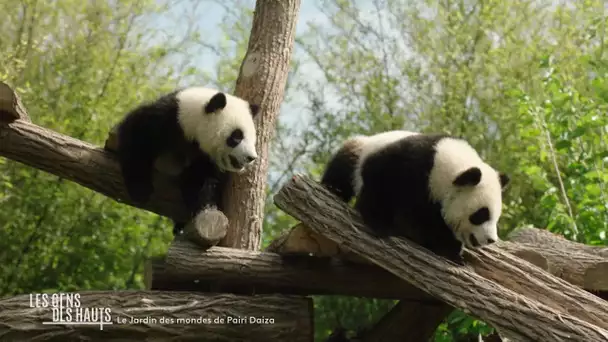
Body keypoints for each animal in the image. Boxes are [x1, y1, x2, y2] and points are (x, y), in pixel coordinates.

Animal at [108, 87, 258, 235]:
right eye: (237, 136)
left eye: (252, 138)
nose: (251, 157)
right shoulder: (168, 119)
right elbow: (137, 137)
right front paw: (140, 189)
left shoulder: (203, 157)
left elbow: (200, 177)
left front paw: (202, 198)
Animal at [320, 130, 510, 264]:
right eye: (481, 214)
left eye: (496, 217)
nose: (491, 240)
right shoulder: (409, 163)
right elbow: (381, 182)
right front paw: (381, 223)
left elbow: (432, 222)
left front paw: (450, 249)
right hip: (361, 148)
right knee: (345, 164)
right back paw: (333, 188)